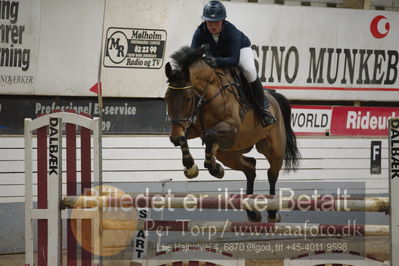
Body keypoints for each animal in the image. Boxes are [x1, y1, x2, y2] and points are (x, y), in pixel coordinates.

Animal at [163, 46, 300, 222]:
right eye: (167, 97)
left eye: (187, 98)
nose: (174, 137)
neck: (207, 95)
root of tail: (273, 98)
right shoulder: (191, 127)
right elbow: (186, 139)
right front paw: (191, 167)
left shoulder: (231, 128)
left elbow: (209, 135)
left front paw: (214, 168)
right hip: (229, 154)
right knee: (250, 167)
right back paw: (251, 212)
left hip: (273, 149)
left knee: (272, 174)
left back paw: (272, 213)